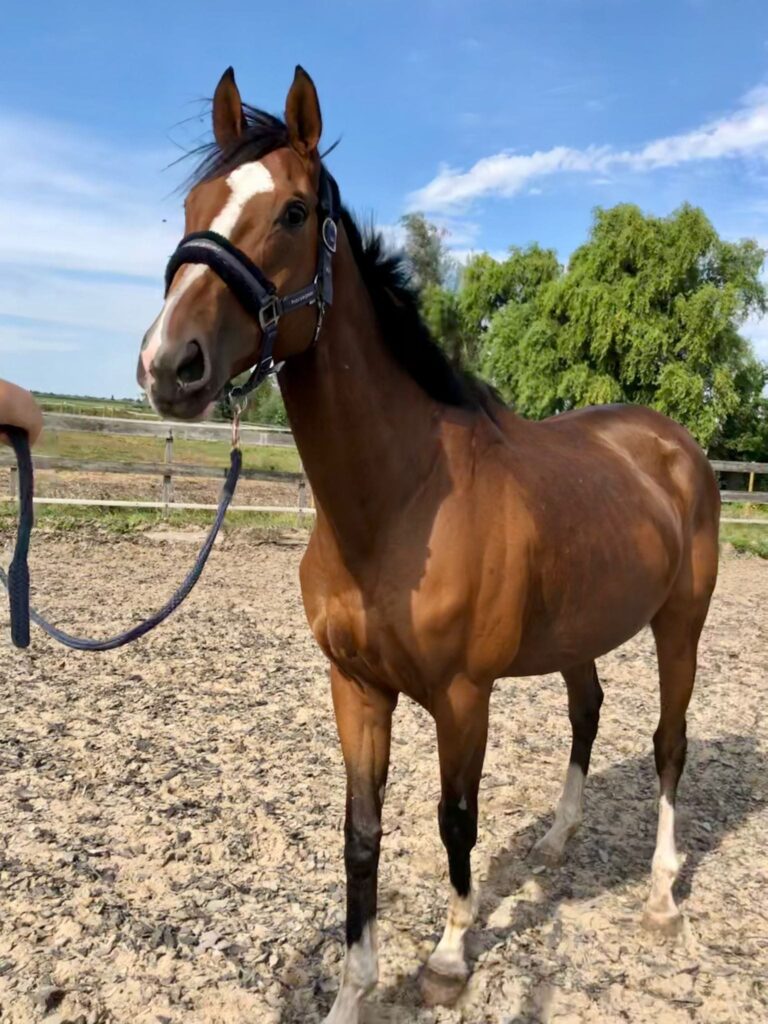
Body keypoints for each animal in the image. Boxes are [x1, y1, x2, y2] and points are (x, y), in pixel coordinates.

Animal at [137, 66, 720, 1023]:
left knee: (669, 743)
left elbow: (455, 818)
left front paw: (448, 956)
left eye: (293, 211)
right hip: (580, 632)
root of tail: (675, 447)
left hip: (681, 622)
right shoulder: (357, 689)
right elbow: (361, 834)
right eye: (196, 203)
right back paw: (559, 839)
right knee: (588, 710)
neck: (397, 505)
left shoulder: (461, 696)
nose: (167, 364)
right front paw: (353, 992)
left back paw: (663, 897)